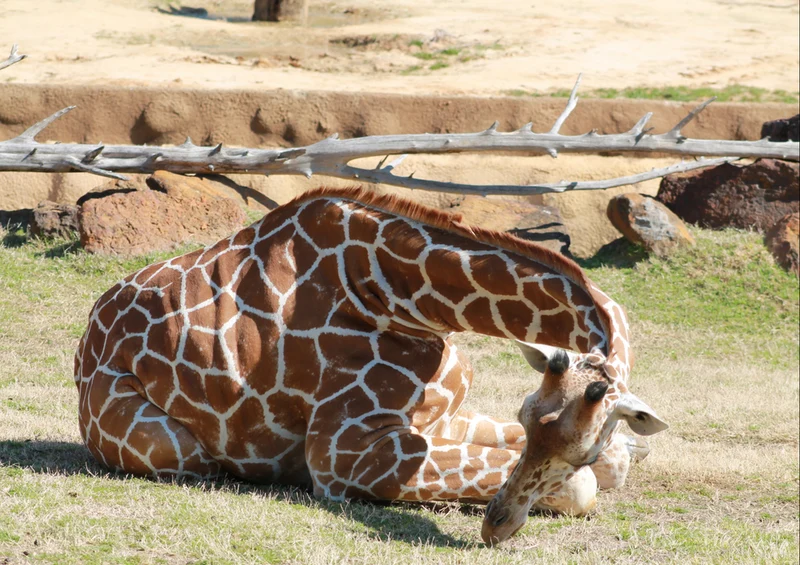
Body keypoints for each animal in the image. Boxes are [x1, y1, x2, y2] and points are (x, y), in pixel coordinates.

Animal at [74, 187, 667, 544]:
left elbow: (612, 461)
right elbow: (584, 487)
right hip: (171, 448)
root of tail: (84, 348)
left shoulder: (439, 416)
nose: (495, 528)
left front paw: (625, 452)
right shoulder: (343, 455)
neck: (400, 297)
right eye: (527, 417)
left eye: (583, 446)